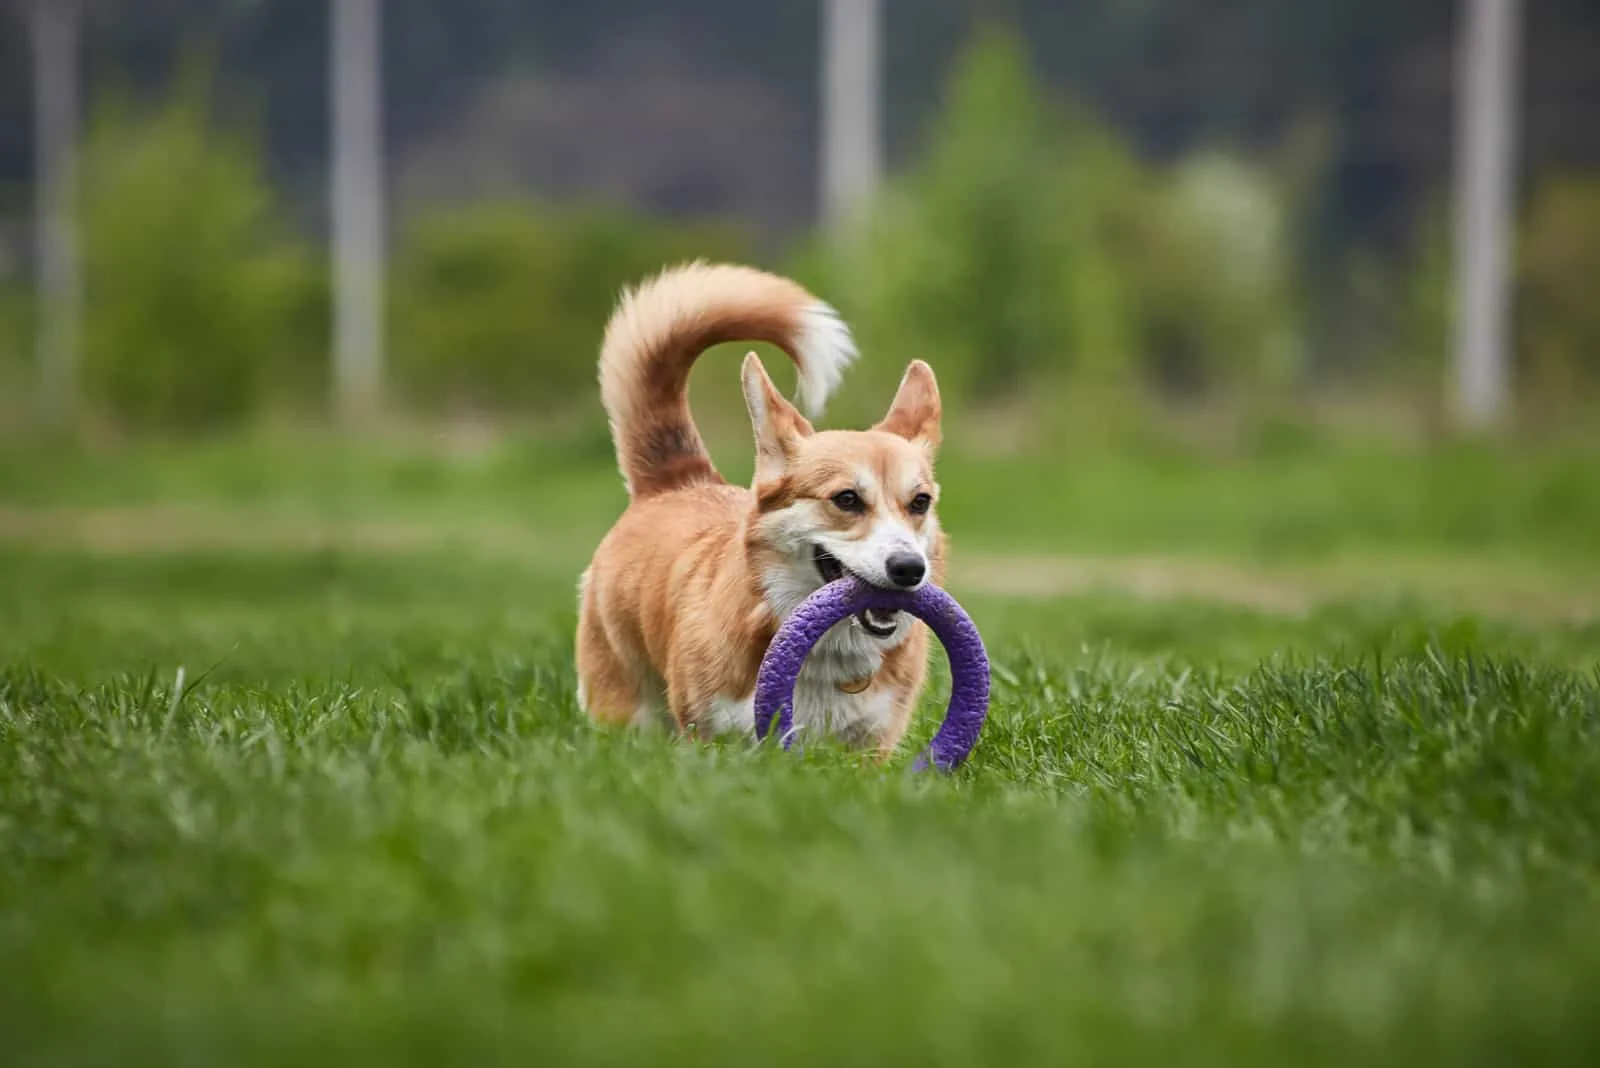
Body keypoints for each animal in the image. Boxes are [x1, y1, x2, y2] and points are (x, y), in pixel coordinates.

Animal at [582, 262, 940, 754]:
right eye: (846, 499)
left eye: (920, 502)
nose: (909, 569)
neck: (826, 651)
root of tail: (678, 478)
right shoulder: (709, 734)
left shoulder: (873, 743)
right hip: (624, 704)